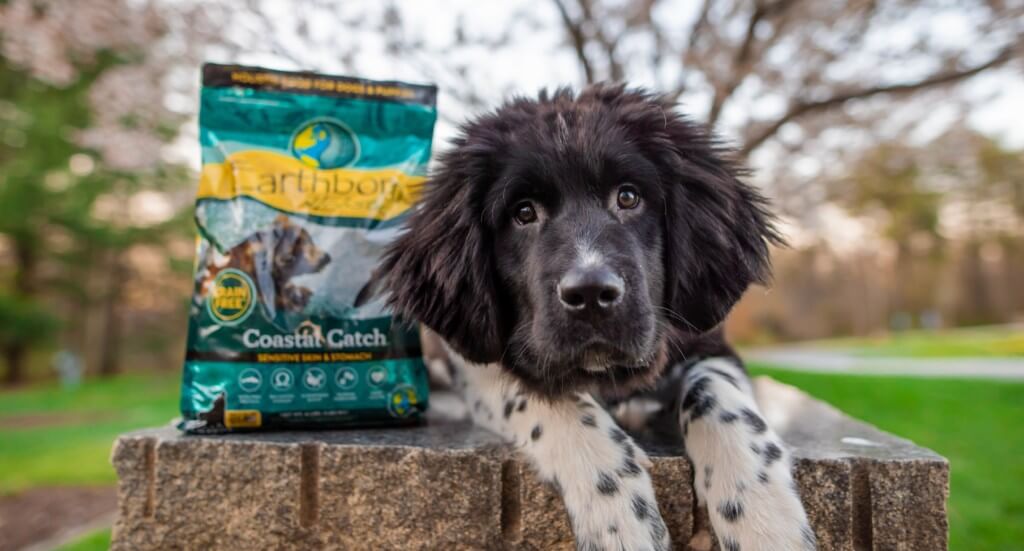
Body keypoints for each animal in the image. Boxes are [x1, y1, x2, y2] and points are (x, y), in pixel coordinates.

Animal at [372, 84, 811, 548]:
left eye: (629, 197)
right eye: (523, 212)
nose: (590, 295)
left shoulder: (707, 340)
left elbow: (720, 395)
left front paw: (765, 518)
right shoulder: (475, 360)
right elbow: (545, 396)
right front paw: (617, 512)